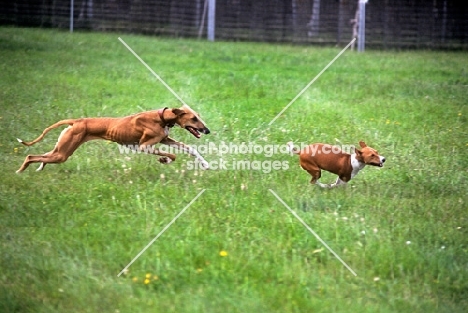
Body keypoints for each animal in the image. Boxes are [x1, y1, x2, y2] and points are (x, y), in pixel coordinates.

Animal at [16, 105, 210, 173]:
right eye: (194, 119)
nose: (207, 130)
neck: (161, 117)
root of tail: (77, 121)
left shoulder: (164, 140)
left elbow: (190, 149)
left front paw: (205, 164)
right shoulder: (144, 146)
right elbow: (172, 155)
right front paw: (165, 160)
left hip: (61, 148)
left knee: (42, 156)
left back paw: (39, 168)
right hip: (63, 153)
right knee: (30, 156)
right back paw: (20, 171)